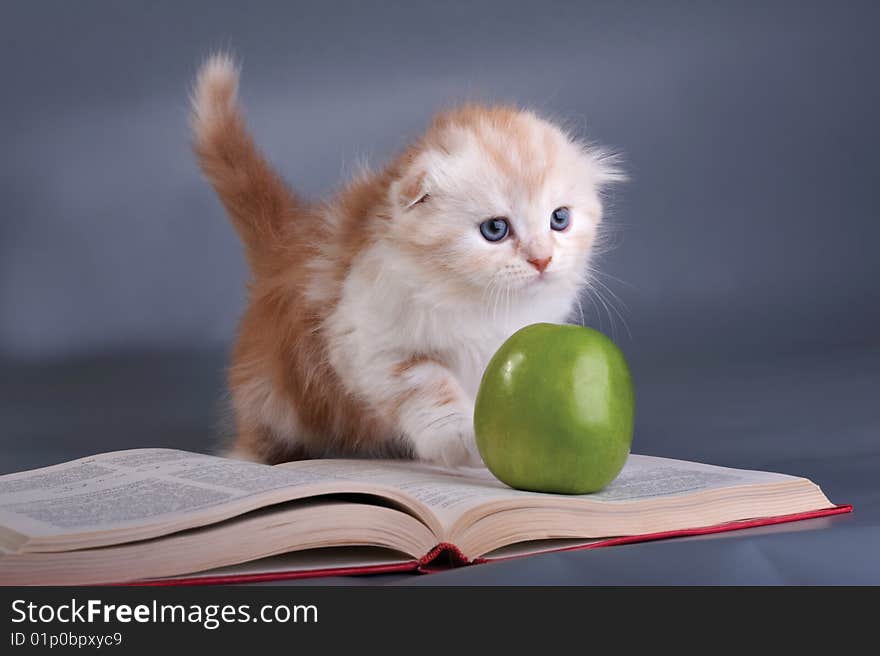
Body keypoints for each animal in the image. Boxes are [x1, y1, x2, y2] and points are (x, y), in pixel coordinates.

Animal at [189, 55, 624, 466]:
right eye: (495, 229)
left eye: (559, 219)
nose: (542, 259)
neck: (481, 304)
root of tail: (286, 246)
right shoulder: (363, 339)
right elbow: (427, 383)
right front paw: (462, 439)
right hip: (272, 395)